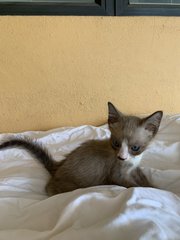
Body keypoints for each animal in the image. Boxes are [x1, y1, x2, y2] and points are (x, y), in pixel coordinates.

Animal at [0, 102, 162, 196]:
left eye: (135, 148)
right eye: (116, 144)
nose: (121, 157)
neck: (131, 162)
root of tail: (58, 166)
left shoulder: (135, 169)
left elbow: (145, 180)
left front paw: (158, 188)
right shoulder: (117, 176)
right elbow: (134, 186)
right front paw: (153, 191)